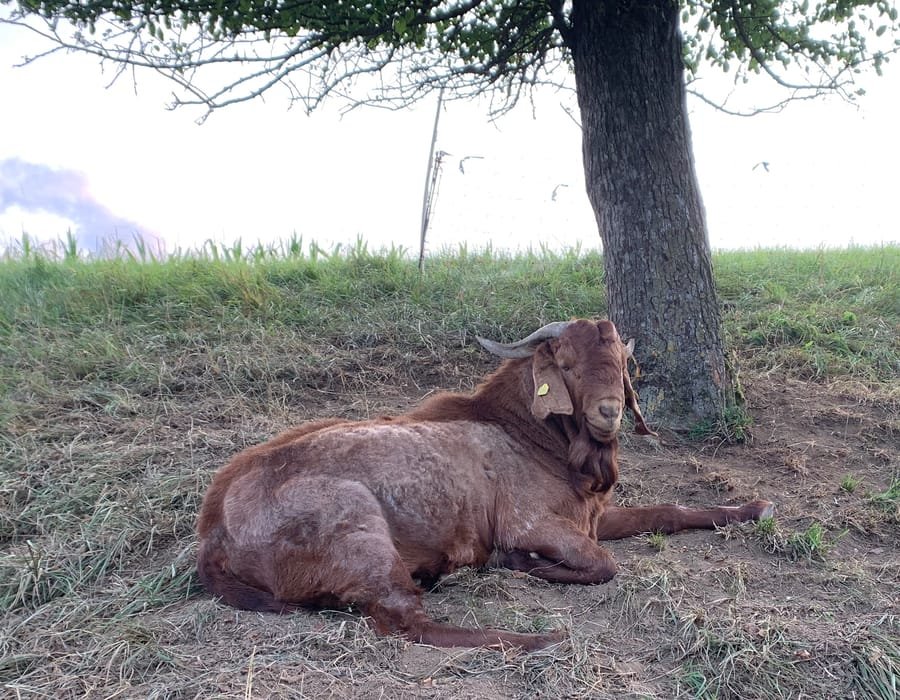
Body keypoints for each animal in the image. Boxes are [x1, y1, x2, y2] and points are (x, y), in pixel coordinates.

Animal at [196, 319, 773, 650]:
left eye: (621, 363)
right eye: (566, 364)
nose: (609, 412)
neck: (527, 433)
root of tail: (213, 532)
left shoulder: (591, 514)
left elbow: (667, 512)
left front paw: (753, 507)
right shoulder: (531, 522)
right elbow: (602, 564)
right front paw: (515, 561)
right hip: (356, 525)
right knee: (404, 621)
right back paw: (535, 635)